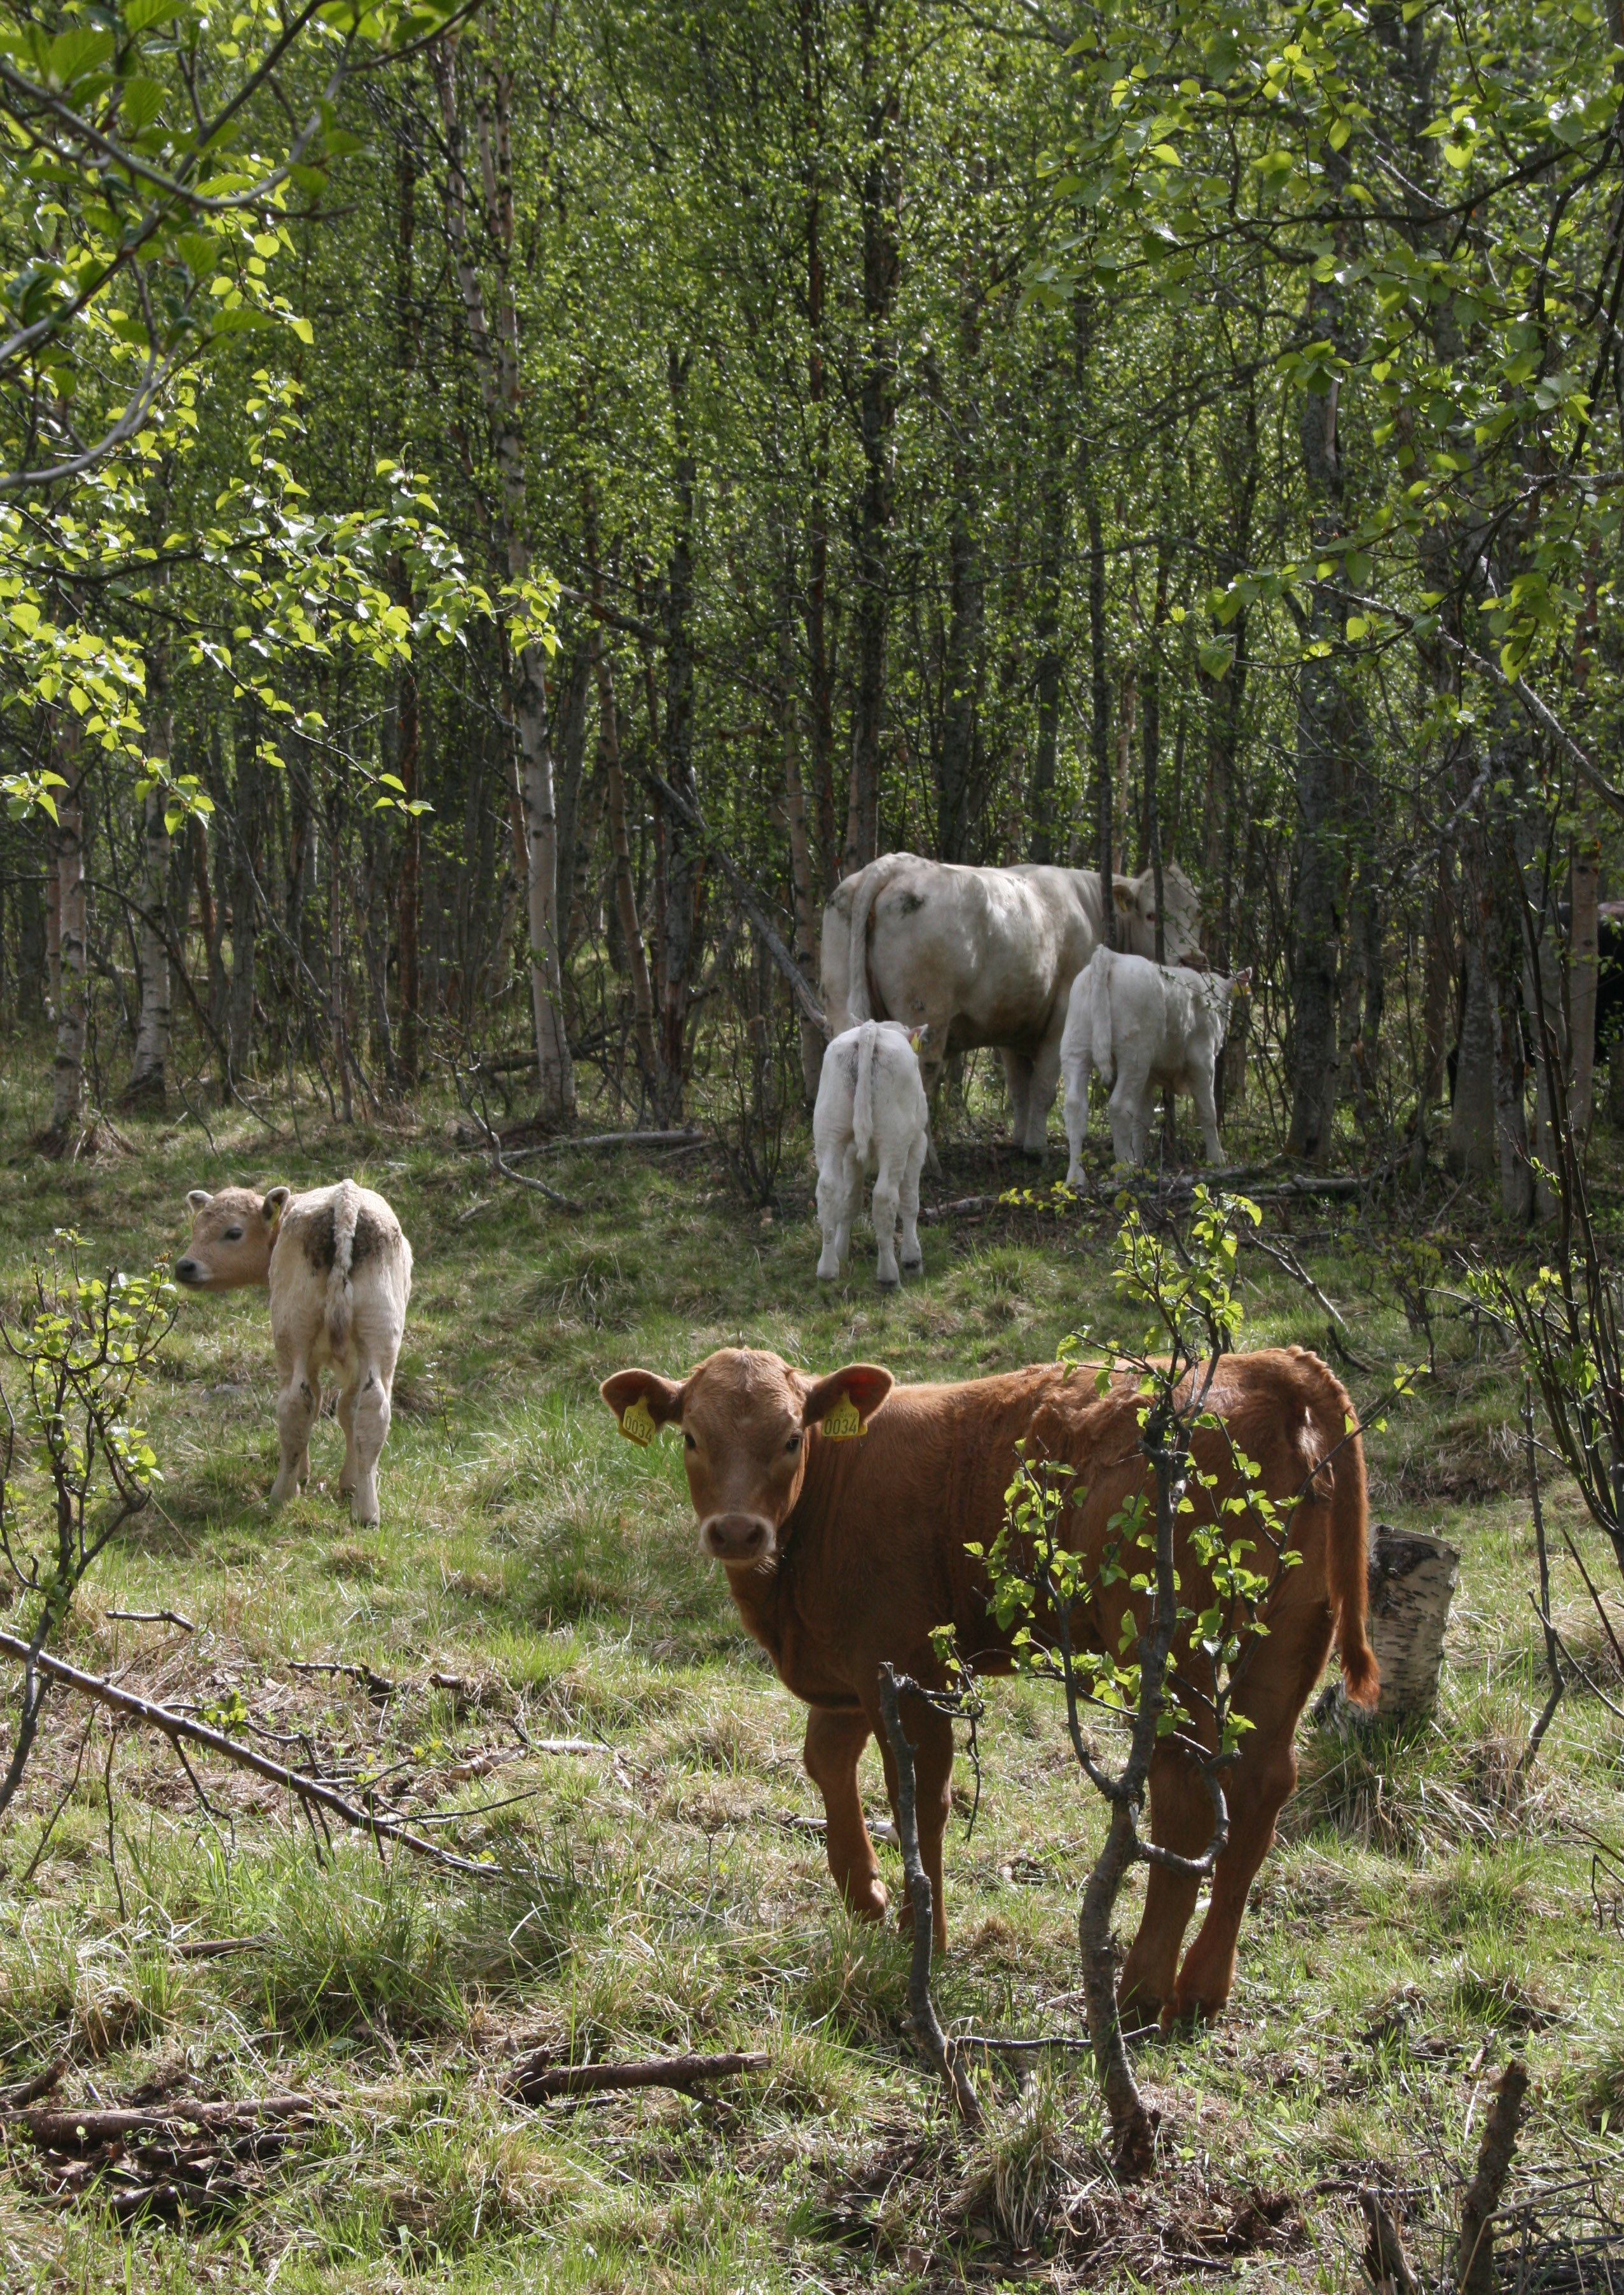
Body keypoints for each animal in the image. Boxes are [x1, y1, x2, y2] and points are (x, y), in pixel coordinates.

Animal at [175, 1175, 415, 1533]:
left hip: (293, 1333)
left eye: (234, 1232)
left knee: (295, 1403)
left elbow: (321, 1406)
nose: (184, 1266)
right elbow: (347, 1410)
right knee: (373, 1408)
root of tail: (346, 1200)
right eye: (196, 1227)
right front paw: (351, 1482)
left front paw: (307, 1475)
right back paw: (366, 1511)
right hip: (381, 1333)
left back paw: (283, 1494)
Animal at [601, 1340, 1376, 2029]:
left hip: (1172, 1649)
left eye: (792, 1437)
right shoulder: (851, 1667)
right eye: (692, 1437)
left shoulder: (906, 1665)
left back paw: (1141, 1989)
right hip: (1287, 1640)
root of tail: (1274, 1365)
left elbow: (919, 1797)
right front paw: (865, 1897)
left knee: (1184, 1791)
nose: (736, 1532)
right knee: (1261, 1787)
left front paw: (925, 1939)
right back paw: (1201, 1992)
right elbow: (826, 1759)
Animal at [812, 1023, 926, 1294]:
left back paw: (828, 1269)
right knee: (885, 1197)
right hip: (895, 1137)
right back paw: (889, 1275)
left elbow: (849, 1201)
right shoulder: (919, 1143)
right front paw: (912, 1260)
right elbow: (911, 1202)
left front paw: (841, 1252)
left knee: (828, 1189)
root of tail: (870, 1029)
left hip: (830, 1126)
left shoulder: (850, 1154)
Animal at [816, 858, 1202, 1156]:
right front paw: (1036, 1147)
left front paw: (1019, 1139)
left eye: (1197, 914)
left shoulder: (1011, 1025)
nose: (1193, 957)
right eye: (1152, 915)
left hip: (841, 1007)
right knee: (921, 1078)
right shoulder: (1059, 1022)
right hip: (925, 1016)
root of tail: (890, 865)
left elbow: (1020, 1088)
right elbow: (1044, 1089)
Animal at [1059, 945, 1248, 1184]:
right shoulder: (1202, 1061)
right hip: (1134, 1053)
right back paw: (1124, 1170)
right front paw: (1217, 1158)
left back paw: (1076, 1177)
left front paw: (1139, 1160)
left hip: (1076, 1045)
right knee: (1118, 1106)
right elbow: (1208, 1111)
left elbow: (1143, 1118)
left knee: (1075, 1107)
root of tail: (1110, 956)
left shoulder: (1148, 1077)